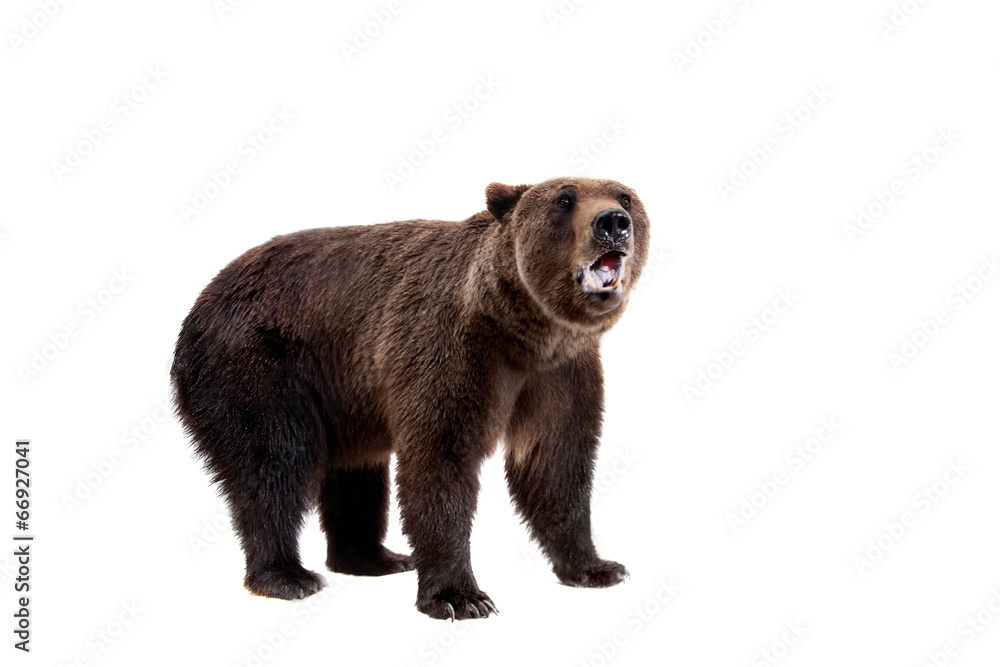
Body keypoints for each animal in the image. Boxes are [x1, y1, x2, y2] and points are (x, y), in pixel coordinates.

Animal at [170, 176, 650, 620]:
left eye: (625, 197)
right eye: (564, 199)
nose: (613, 223)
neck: (522, 332)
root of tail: (201, 298)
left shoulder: (562, 373)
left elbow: (555, 463)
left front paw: (597, 567)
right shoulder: (449, 349)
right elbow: (441, 459)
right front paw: (460, 596)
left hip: (346, 396)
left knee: (356, 471)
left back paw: (373, 557)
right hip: (261, 366)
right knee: (273, 462)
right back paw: (287, 575)